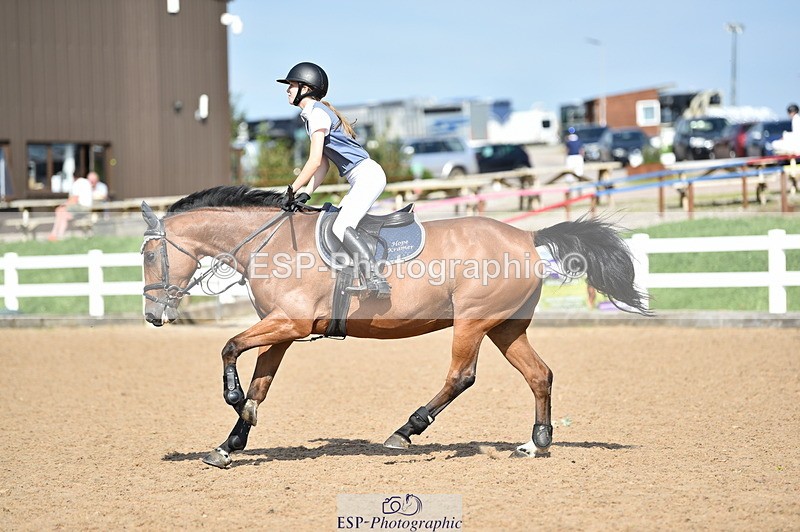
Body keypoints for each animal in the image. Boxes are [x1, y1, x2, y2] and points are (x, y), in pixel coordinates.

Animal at [140, 185, 648, 468]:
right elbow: (260, 387)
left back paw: (406, 431)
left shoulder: (288, 323)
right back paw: (536, 443)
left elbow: (229, 348)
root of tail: (526, 235)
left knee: (461, 376)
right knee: (539, 374)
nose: (152, 315)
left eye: (146, 254)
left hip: (472, 321)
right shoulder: (280, 331)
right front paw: (231, 443)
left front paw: (232, 399)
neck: (270, 243)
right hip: (506, 326)